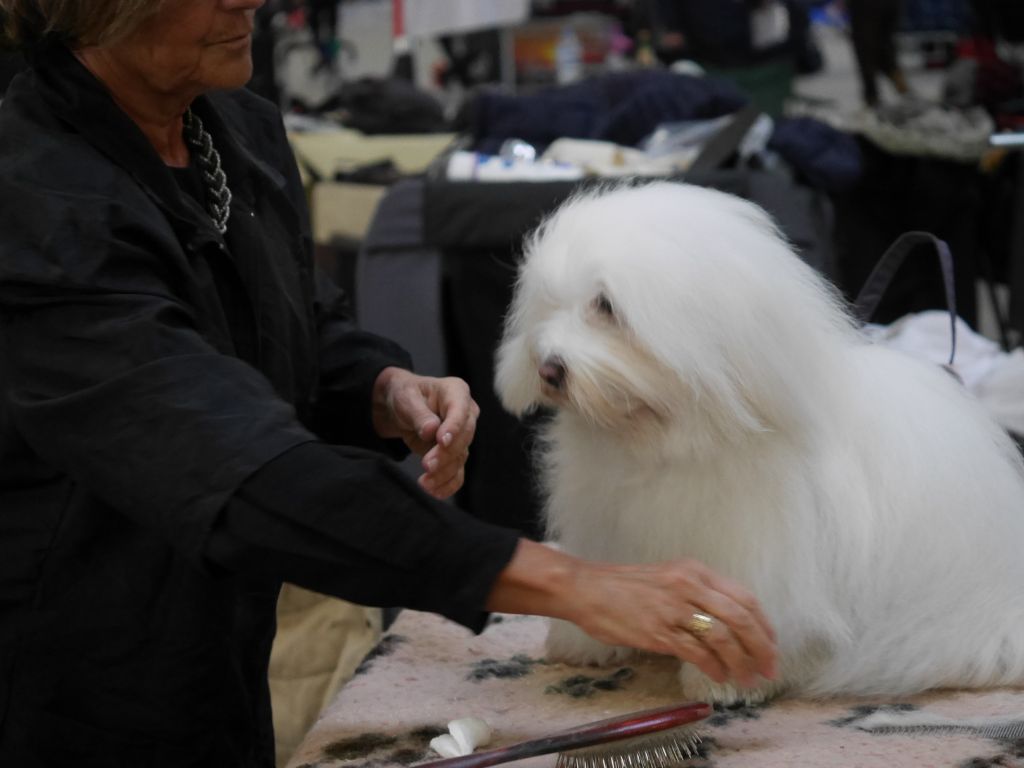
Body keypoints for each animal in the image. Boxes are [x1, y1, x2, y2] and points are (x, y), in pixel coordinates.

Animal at [494, 181, 1024, 704]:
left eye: (605, 306)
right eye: (549, 305)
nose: (548, 368)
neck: (664, 440)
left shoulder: (760, 553)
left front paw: (723, 680)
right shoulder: (605, 526)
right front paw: (586, 642)